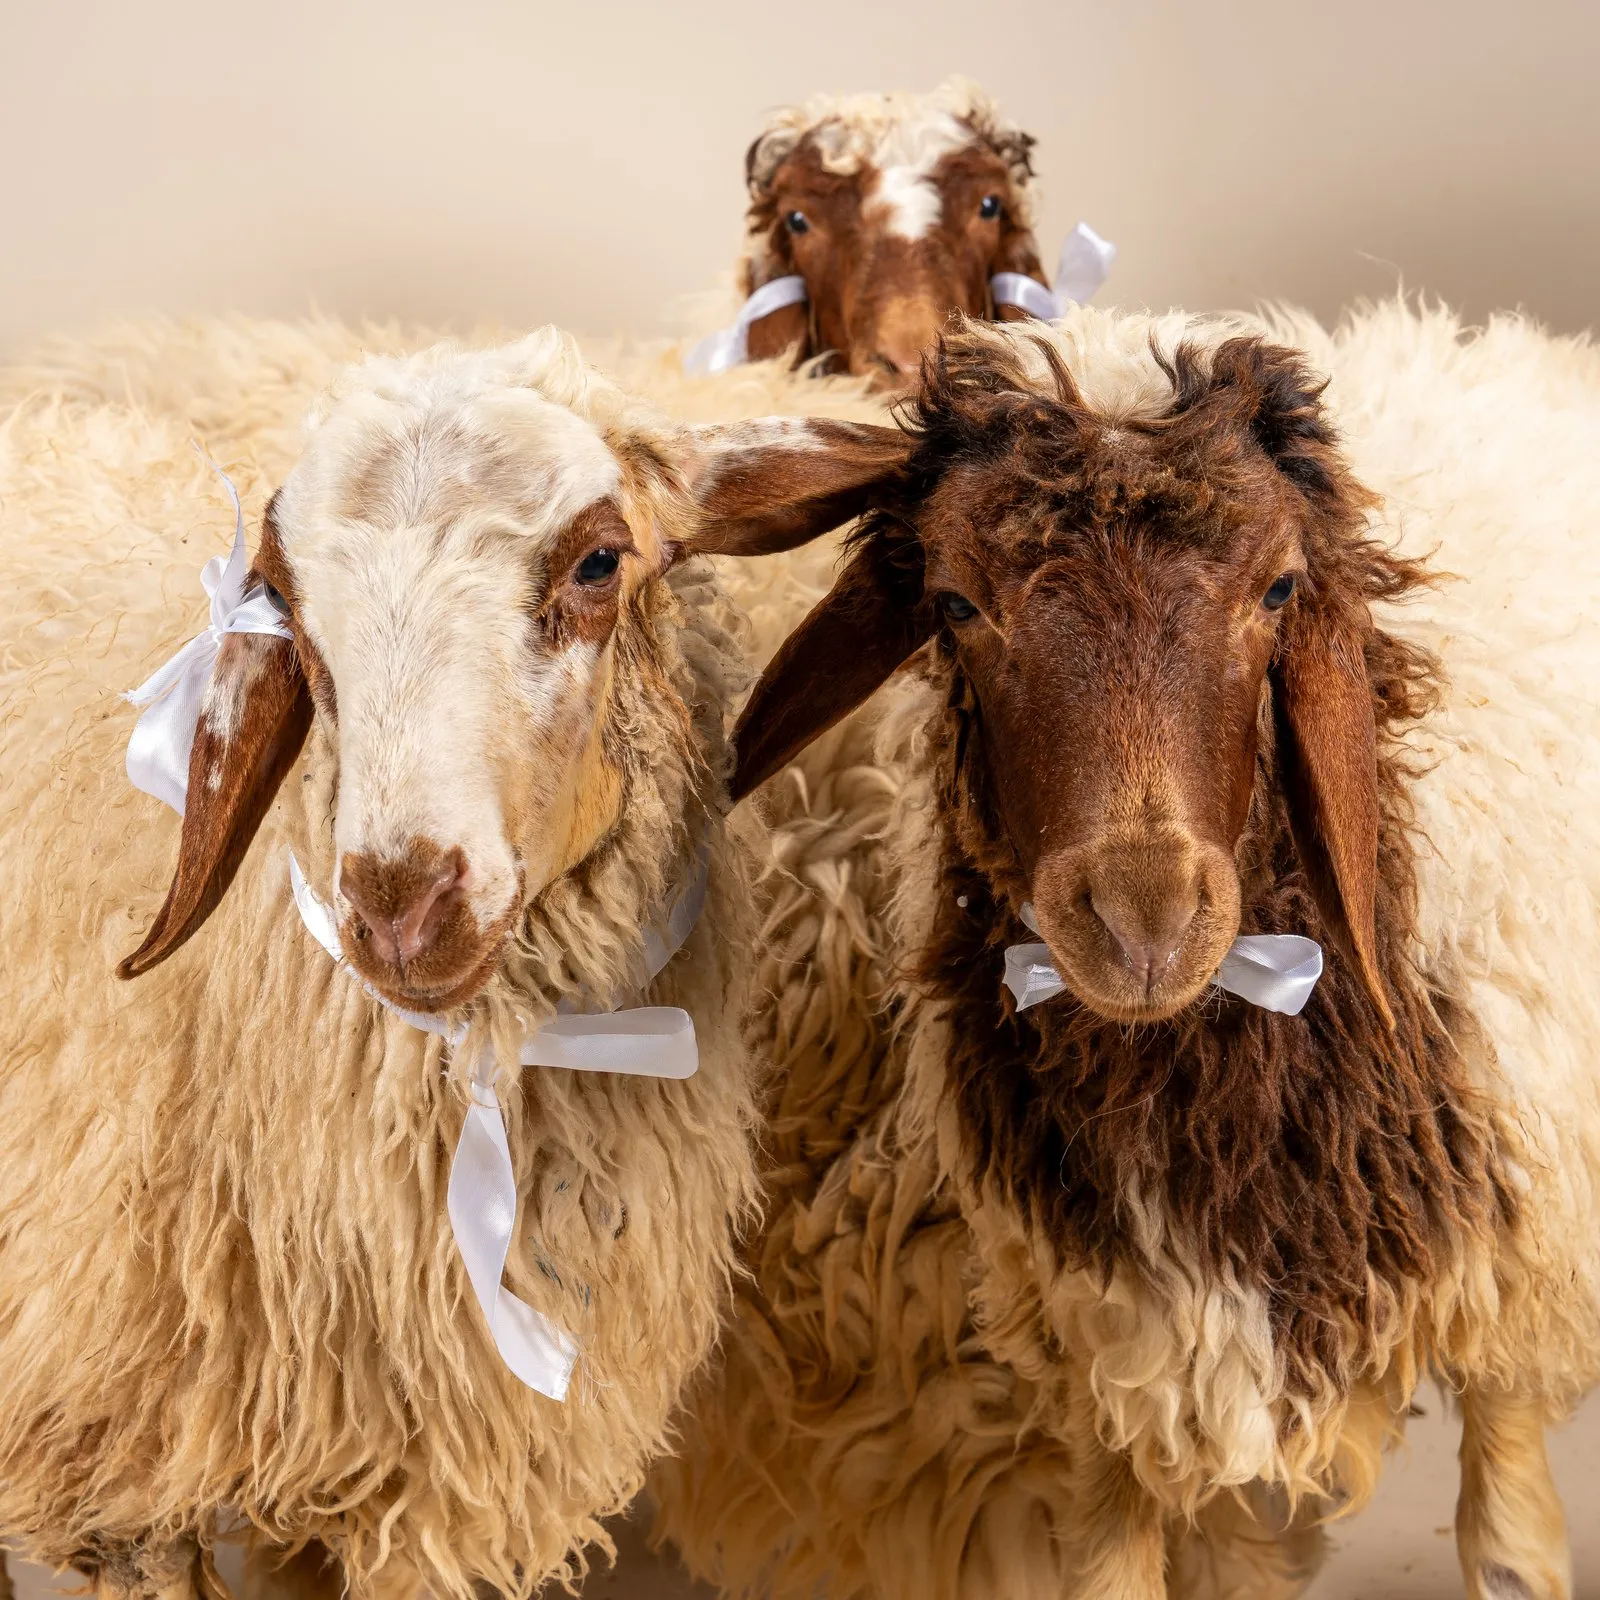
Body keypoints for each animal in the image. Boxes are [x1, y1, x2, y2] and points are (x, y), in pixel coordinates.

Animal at [654, 299, 1600, 1600]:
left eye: (1279, 587)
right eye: (955, 603)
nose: (1143, 919)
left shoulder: (1513, 1287)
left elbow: (1508, 1550)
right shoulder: (1103, 1357)